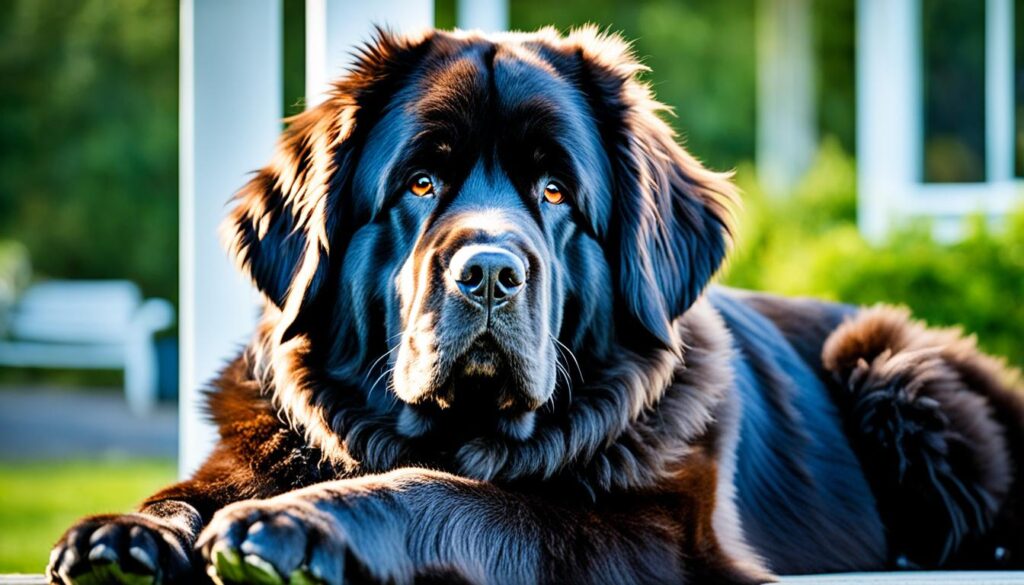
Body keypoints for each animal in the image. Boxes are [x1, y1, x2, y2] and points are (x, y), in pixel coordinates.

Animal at [48, 25, 1024, 581]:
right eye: (422, 182)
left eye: (555, 191)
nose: (488, 271)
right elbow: (189, 492)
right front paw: (126, 534)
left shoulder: (654, 530)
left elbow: (456, 494)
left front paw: (300, 521)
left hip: (892, 362)